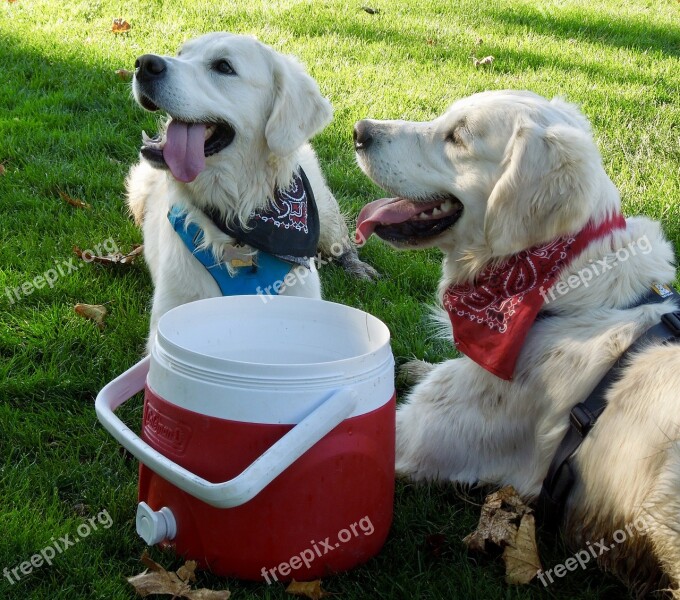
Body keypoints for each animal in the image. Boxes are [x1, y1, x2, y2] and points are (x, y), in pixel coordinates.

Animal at [127, 32, 378, 350]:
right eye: (181, 53)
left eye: (224, 66)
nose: (144, 64)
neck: (238, 216)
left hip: (324, 211)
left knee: (341, 241)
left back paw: (357, 266)